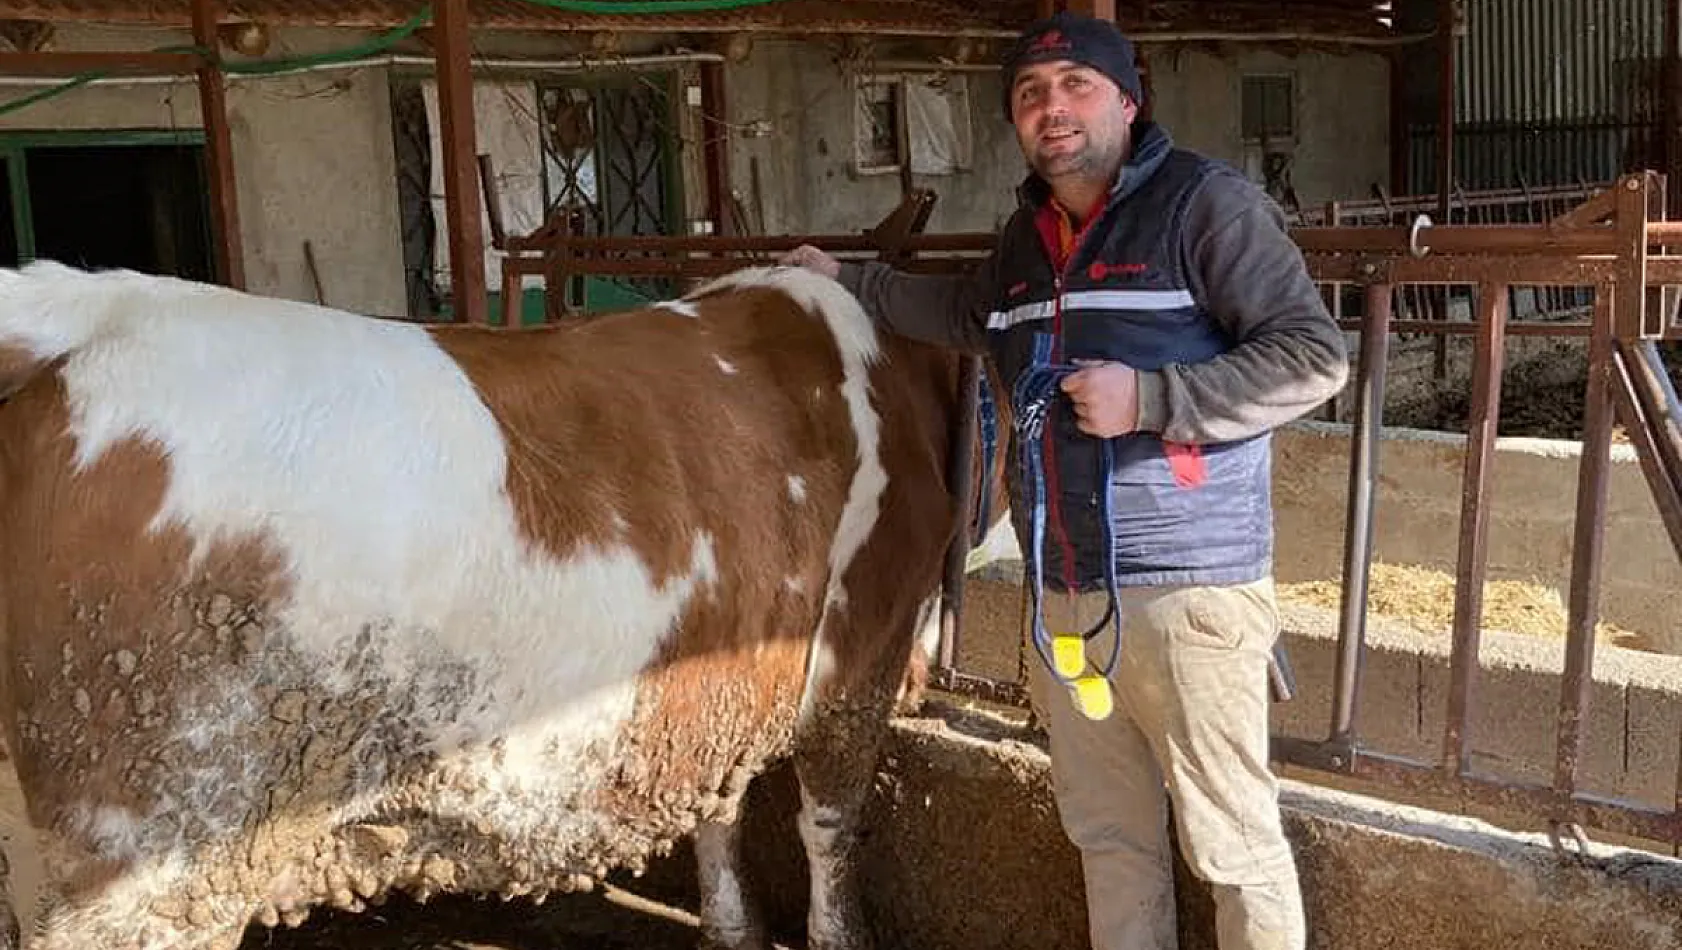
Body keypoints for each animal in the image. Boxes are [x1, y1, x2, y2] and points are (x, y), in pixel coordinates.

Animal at [0, 258, 1002, 948]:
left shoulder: (723, 668)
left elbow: (719, 809)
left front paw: (732, 927)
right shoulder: (856, 650)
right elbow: (830, 823)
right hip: (152, 854)